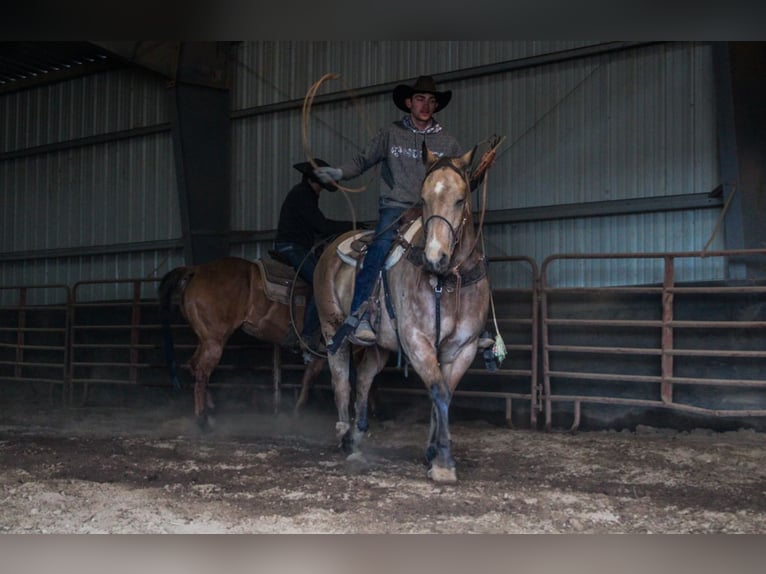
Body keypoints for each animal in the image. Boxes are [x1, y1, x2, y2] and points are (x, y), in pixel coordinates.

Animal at [158, 255, 326, 428]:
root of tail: (196, 270)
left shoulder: (320, 353)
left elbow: (309, 377)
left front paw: (297, 413)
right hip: (214, 341)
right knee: (202, 371)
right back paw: (202, 419)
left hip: (205, 339)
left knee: (194, 365)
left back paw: (210, 410)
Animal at [316, 143, 492, 482]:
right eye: (423, 199)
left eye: (460, 199)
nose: (435, 257)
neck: (448, 281)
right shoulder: (416, 341)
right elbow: (438, 390)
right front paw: (444, 462)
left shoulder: (461, 348)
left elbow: (444, 394)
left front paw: (433, 453)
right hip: (332, 329)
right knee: (341, 377)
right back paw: (346, 440)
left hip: (380, 345)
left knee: (364, 377)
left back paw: (358, 433)